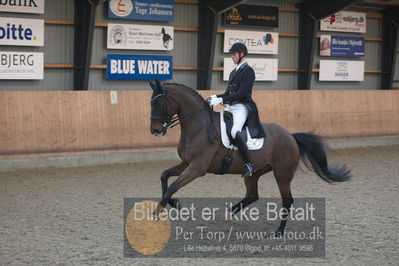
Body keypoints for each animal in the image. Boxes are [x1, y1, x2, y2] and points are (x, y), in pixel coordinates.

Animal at [149, 80, 350, 233]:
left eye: (158, 103)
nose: (155, 131)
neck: (198, 127)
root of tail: (290, 136)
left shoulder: (197, 168)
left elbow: (172, 186)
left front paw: (156, 213)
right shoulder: (186, 163)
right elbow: (165, 177)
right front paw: (173, 203)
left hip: (282, 174)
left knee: (287, 200)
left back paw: (279, 231)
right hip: (256, 173)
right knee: (252, 195)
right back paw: (229, 213)